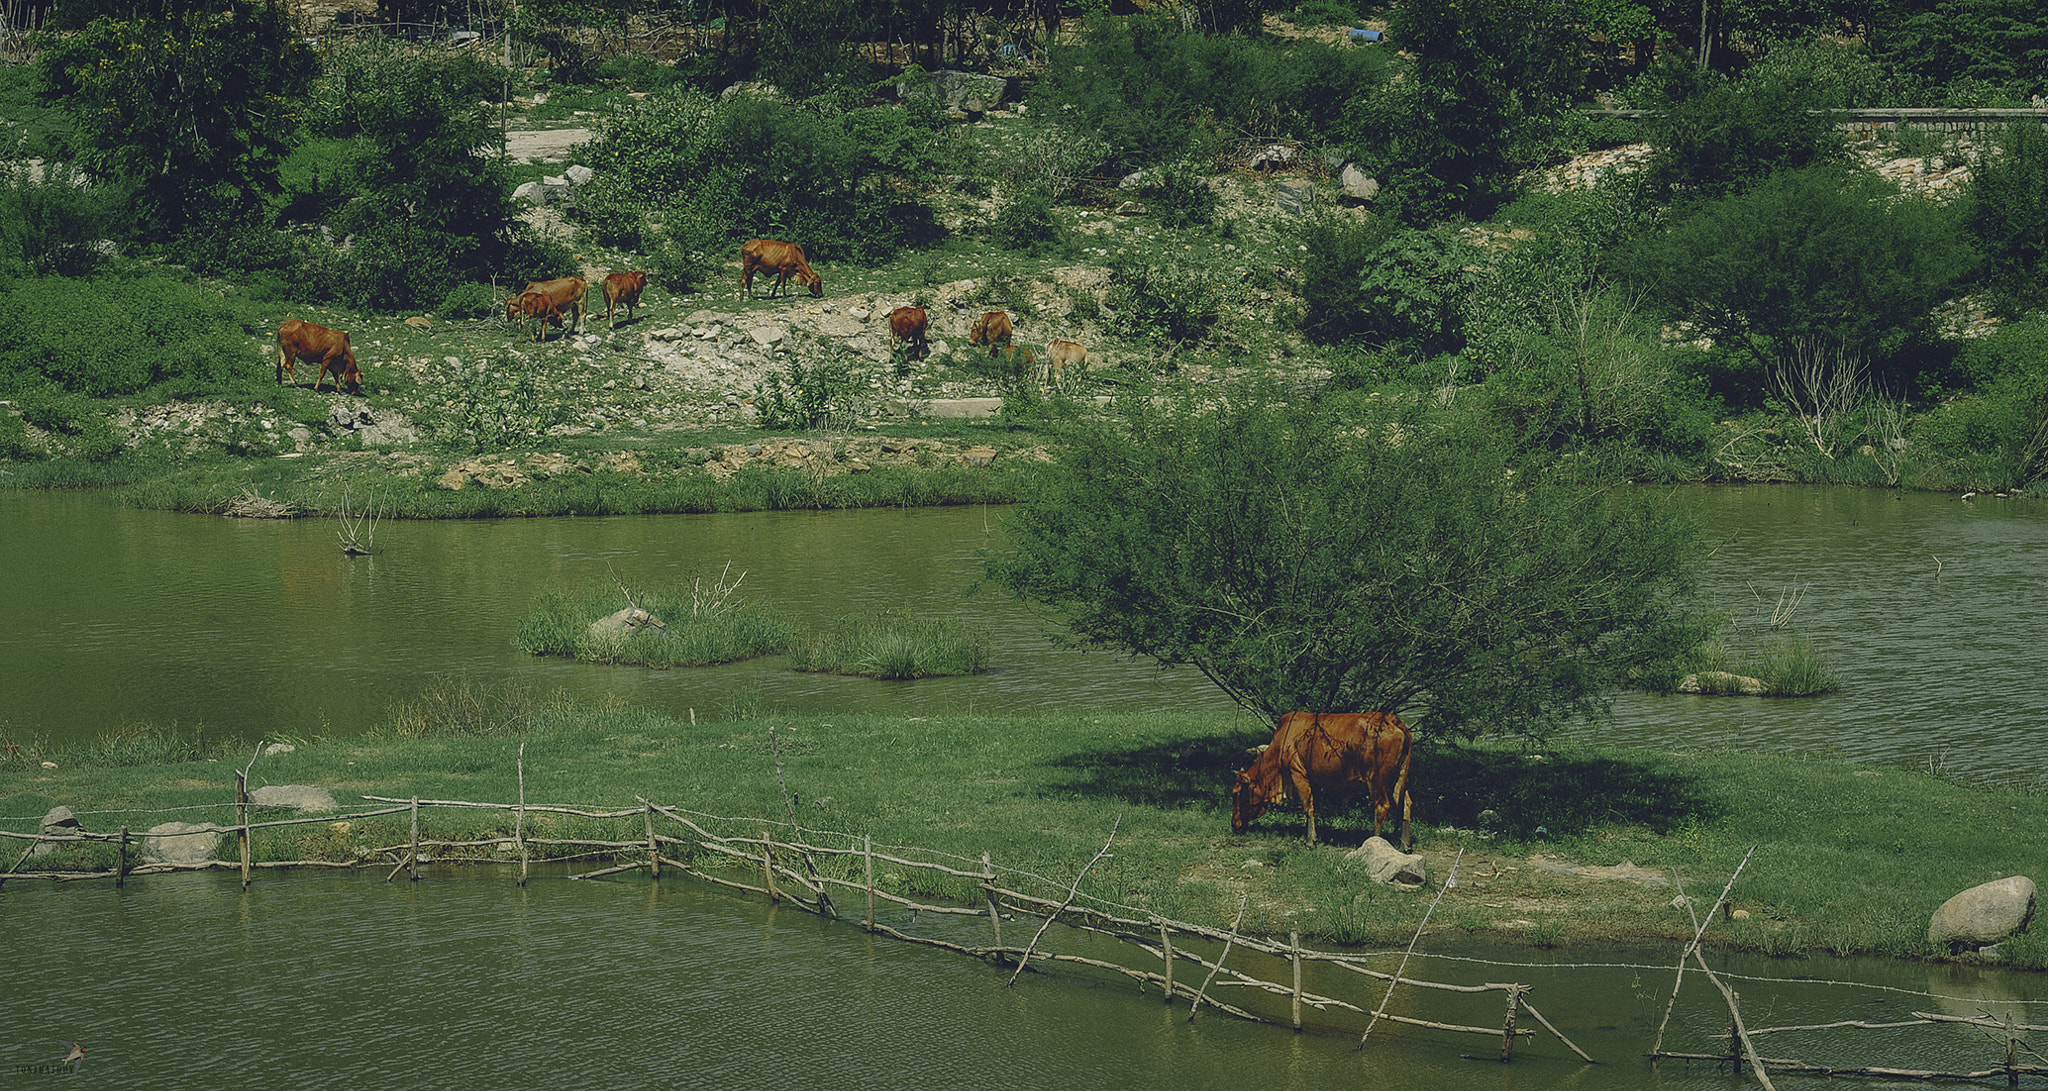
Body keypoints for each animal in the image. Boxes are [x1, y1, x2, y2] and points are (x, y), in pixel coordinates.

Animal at [1220, 712, 1417, 847]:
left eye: (1235, 793)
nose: (1233, 824)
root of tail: (1393, 719)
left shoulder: (1297, 772)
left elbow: (1308, 806)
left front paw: (1309, 840)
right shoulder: (1312, 778)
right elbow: (1312, 805)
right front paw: (1309, 836)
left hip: (1376, 779)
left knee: (1382, 806)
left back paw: (1373, 842)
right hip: (1399, 778)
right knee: (1406, 803)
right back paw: (1404, 844)